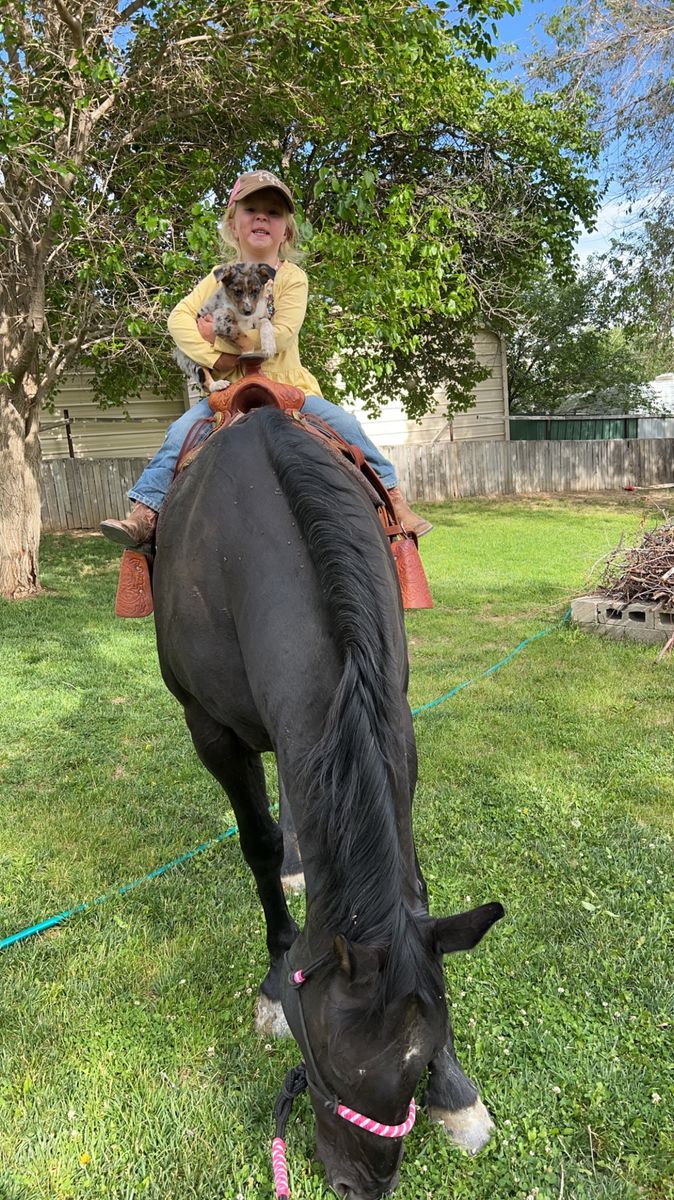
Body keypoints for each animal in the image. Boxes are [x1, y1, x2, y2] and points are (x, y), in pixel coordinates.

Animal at [151, 406, 503, 1200]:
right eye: (332, 1066)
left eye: (421, 1062)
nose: (357, 1185)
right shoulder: (211, 732)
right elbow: (255, 846)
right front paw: (275, 979)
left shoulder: (391, 719)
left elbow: (413, 886)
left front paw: (457, 1094)